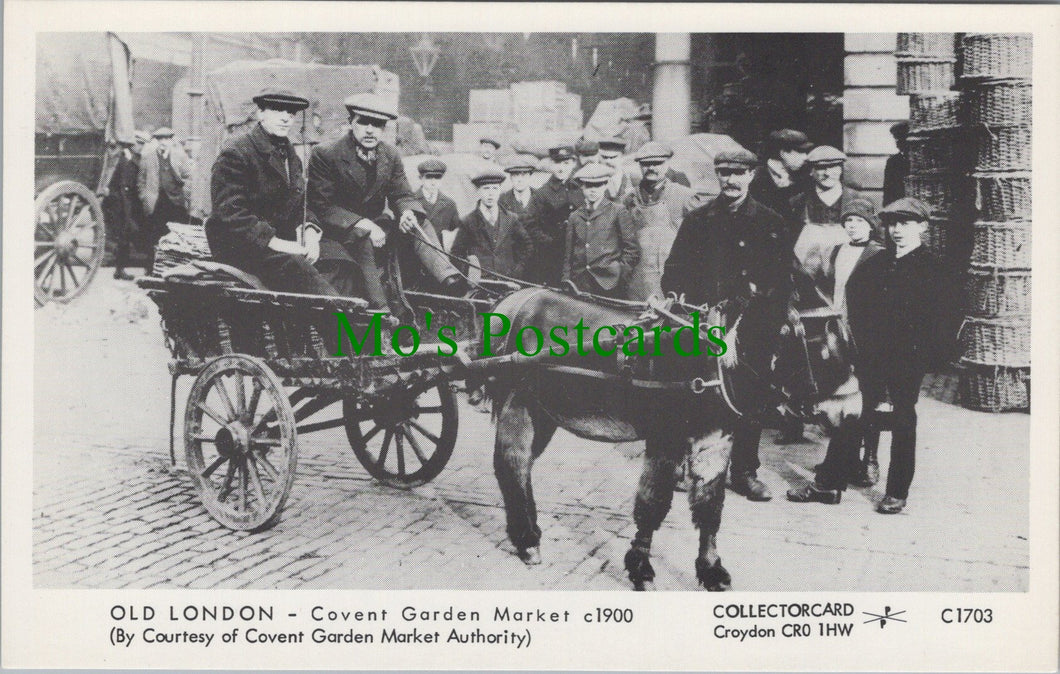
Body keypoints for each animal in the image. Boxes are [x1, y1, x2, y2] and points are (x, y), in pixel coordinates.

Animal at [485, 284, 856, 589]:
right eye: (823, 350)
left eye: (849, 347)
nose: (851, 415)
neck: (711, 357)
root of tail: (514, 299)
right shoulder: (667, 438)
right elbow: (653, 503)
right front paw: (640, 567)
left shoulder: (715, 440)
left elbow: (710, 507)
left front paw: (711, 569)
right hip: (518, 401)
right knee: (512, 462)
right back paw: (528, 541)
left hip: (543, 411)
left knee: (520, 467)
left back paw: (526, 533)